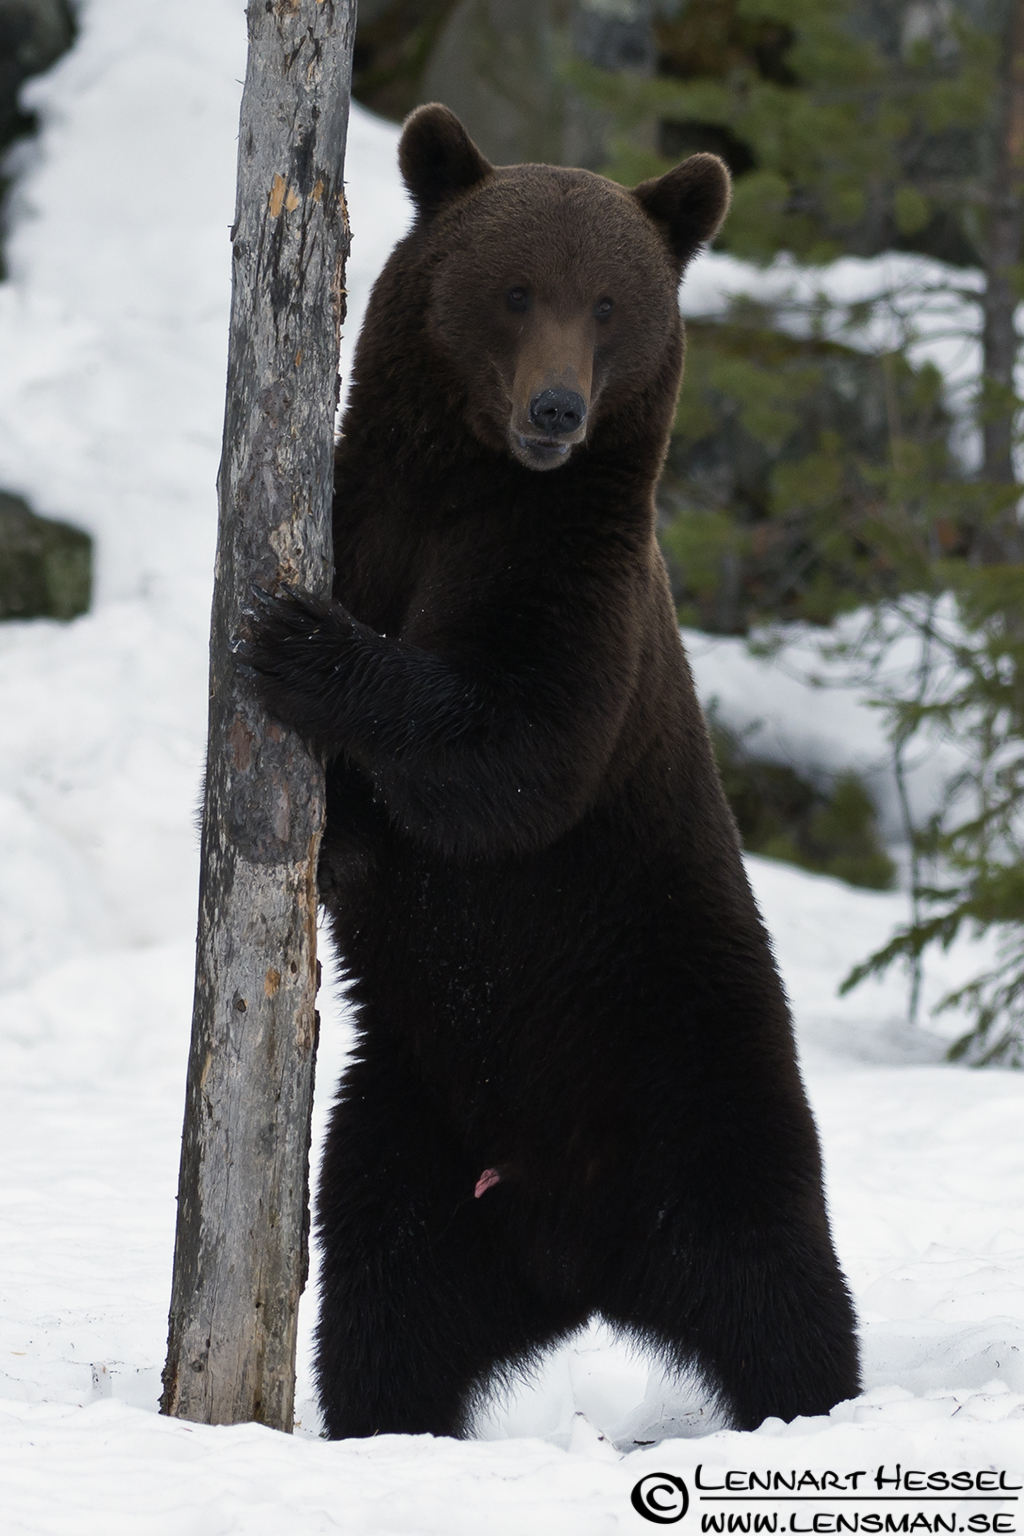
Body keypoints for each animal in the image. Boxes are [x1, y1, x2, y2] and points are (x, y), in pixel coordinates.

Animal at [248, 102, 860, 1440]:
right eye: (515, 288)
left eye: (612, 303)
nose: (556, 412)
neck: (460, 485)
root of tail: (577, 1259)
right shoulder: (370, 508)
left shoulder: (573, 574)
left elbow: (514, 753)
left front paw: (300, 640)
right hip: (410, 1122)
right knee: (381, 1303)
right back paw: (387, 1425)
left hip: (702, 1073)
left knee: (779, 1284)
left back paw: (818, 1408)